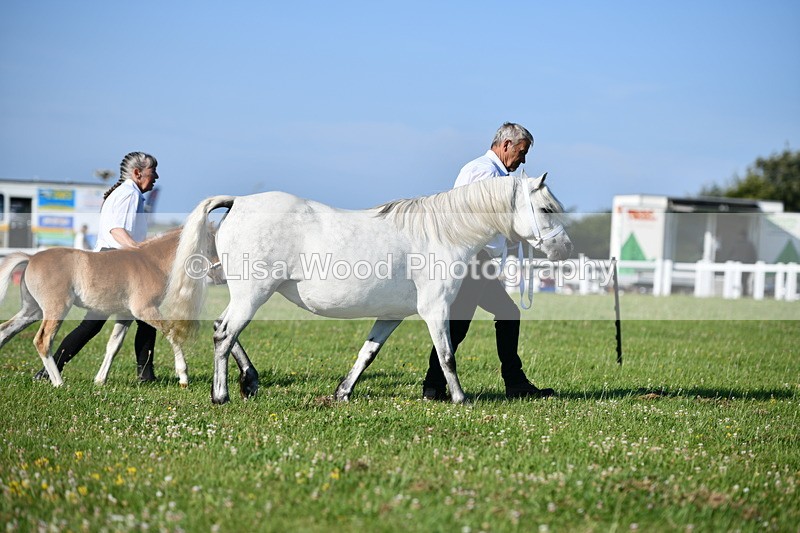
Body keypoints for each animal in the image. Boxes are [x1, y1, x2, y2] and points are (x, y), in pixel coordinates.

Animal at [0, 228, 259, 394]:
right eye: (212, 245)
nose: (222, 277)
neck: (151, 263)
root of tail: (31, 257)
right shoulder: (145, 310)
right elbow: (172, 334)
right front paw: (183, 376)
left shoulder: (125, 315)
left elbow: (113, 346)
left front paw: (100, 380)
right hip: (56, 309)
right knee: (43, 340)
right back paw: (58, 382)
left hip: (31, 311)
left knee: (5, 331)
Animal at [164, 174, 572, 404]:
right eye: (546, 208)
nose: (564, 249)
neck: (442, 233)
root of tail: (238, 202)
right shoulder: (436, 309)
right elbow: (447, 355)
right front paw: (459, 398)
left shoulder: (390, 316)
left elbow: (367, 354)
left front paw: (343, 393)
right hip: (252, 294)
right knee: (224, 334)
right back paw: (222, 395)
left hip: (246, 294)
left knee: (224, 330)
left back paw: (250, 381)